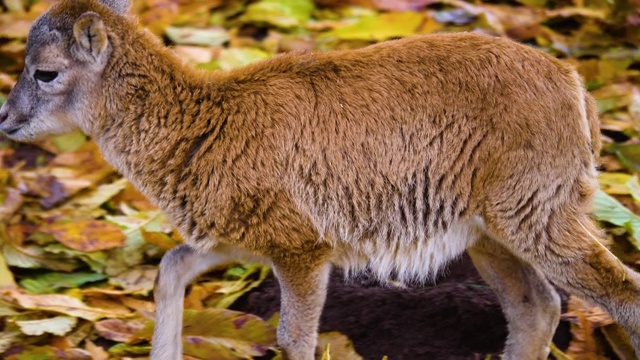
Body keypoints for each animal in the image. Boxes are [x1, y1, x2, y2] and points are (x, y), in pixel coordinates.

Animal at [2, 0, 636, 358]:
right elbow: (171, 267)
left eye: (46, 72)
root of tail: (575, 86)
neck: (208, 122)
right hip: (489, 235)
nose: (5, 120)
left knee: (621, 293)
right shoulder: (243, 237)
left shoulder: (303, 250)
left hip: (538, 217)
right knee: (538, 308)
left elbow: (293, 338)